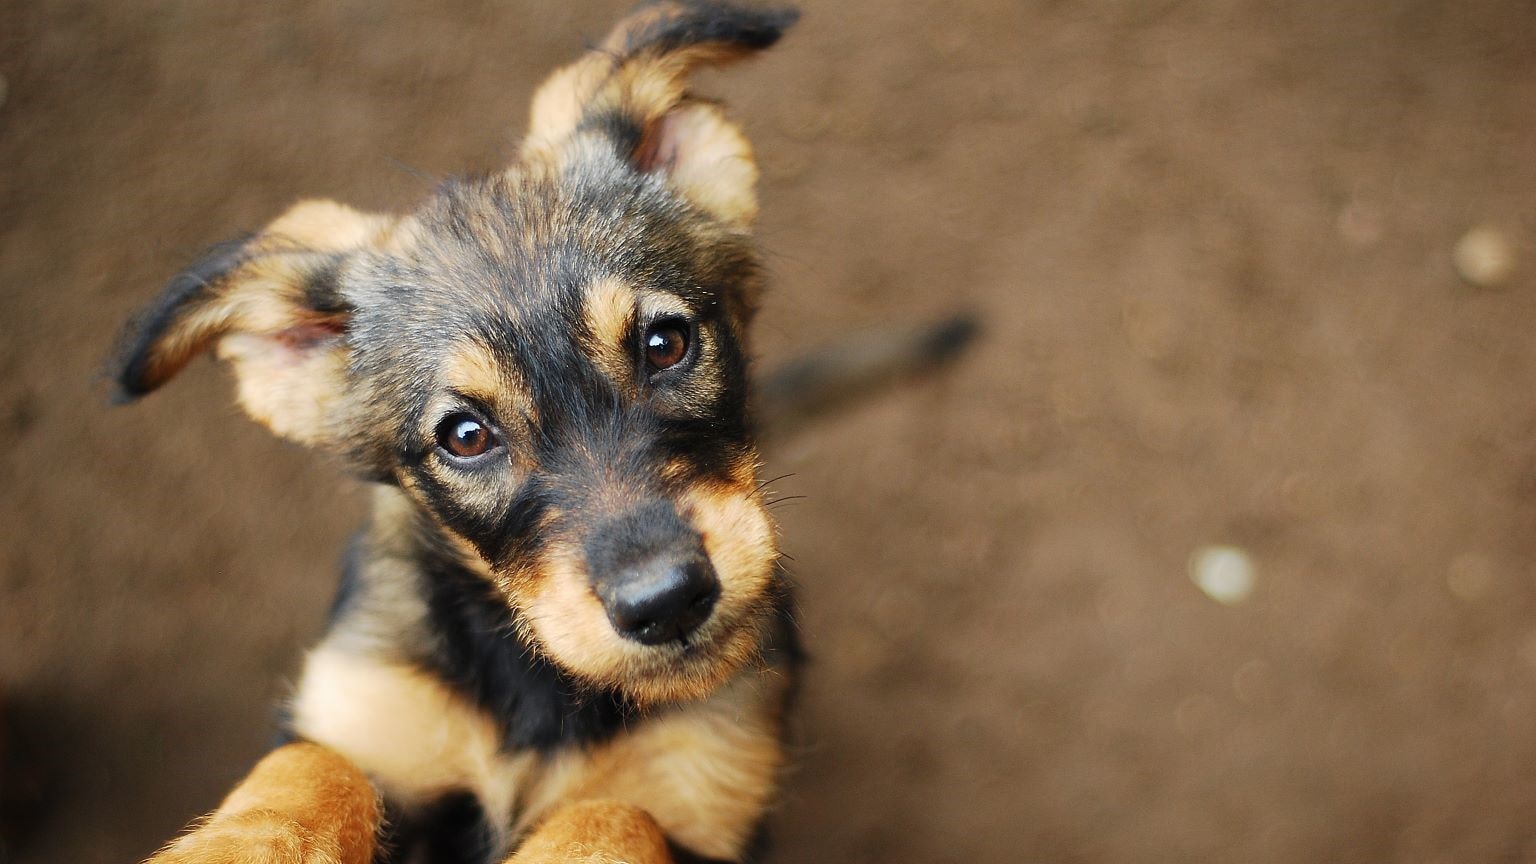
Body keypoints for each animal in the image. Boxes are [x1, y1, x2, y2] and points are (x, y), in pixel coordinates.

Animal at [111, 3, 804, 854]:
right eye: (466, 437)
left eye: (665, 343)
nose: (666, 602)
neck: (539, 688)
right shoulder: (369, 711)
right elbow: (310, 766)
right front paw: (236, 848)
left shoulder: (703, 798)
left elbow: (614, 812)